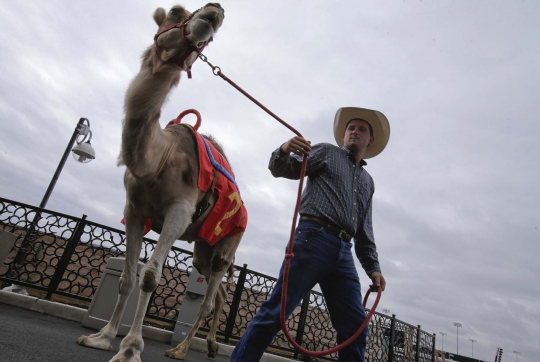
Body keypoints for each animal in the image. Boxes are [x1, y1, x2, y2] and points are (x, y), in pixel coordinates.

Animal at [77, 3, 246, 362]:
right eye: (175, 11)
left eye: (211, 40)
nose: (215, 10)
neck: (157, 159)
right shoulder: (134, 211)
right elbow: (127, 278)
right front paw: (102, 336)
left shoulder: (179, 210)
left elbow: (151, 276)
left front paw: (130, 348)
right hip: (202, 247)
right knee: (219, 292)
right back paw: (210, 345)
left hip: (228, 244)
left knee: (212, 291)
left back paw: (181, 349)